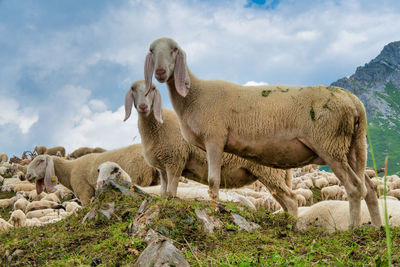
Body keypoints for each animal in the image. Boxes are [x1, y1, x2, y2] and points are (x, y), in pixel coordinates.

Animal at [125, 80, 296, 217]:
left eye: (153, 89)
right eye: (133, 89)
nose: (143, 106)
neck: (157, 126)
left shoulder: (175, 160)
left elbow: (171, 191)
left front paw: (170, 203)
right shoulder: (163, 167)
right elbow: (163, 191)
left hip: (269, 173)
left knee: (291, 200)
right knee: (285, 201)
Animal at [145, 37, 382, 230]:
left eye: (174, 49)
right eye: (151, 50)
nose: (160, 73)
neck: (195, 95)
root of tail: (353, 101)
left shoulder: (215, 139)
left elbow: (212, 181)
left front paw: (214, 211)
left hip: (330, 144)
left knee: (354, 187)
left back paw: (352, 229)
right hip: (353, 146)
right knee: (369, 188)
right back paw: (378, 228)